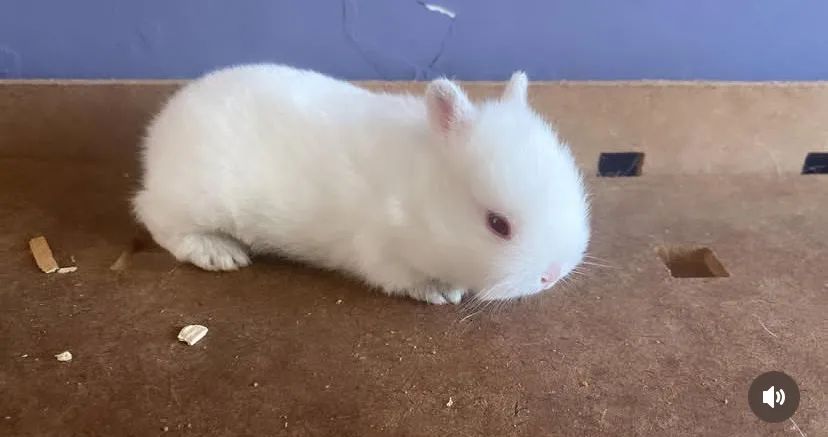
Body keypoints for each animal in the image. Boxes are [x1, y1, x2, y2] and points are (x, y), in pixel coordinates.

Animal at [132, 63, 591, 305]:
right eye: (497, 224)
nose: (552, 275)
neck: (420, 195)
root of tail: (161, 130)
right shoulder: (382, 251)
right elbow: (407, 278)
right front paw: (443, 292)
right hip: (196, 199)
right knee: (154, 217)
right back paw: (219, 252)